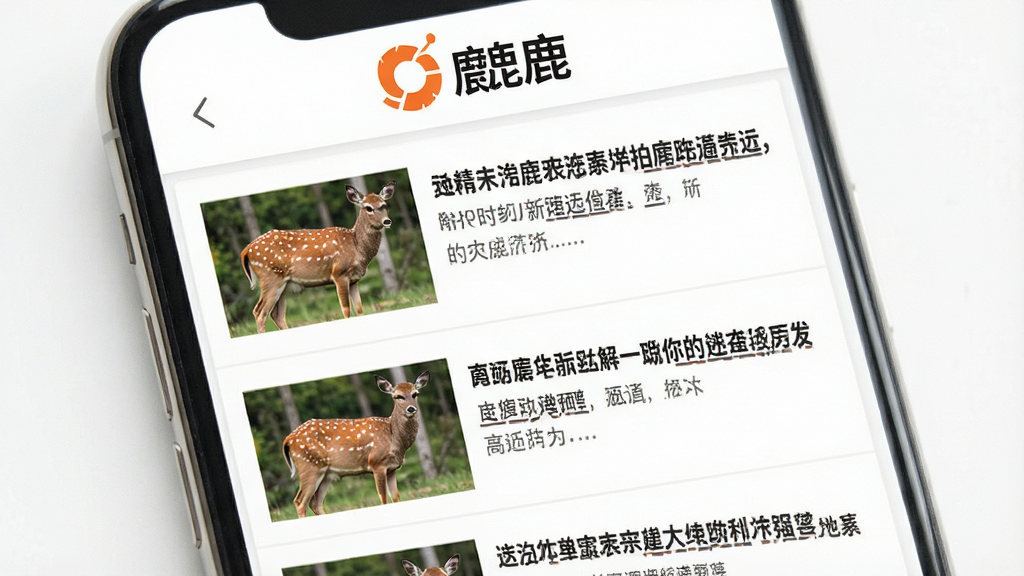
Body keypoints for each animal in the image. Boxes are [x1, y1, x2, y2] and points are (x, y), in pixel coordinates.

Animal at [240, 180, 395, 334]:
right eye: (368, 208)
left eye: (384, 205)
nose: (387, 221)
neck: (356, 247)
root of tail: (246, 250)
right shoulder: (339, 273)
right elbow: (346, 310)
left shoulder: (354, 279)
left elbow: (359, 310)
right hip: (270, 278)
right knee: (259, 312)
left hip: (283, 283)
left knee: (276, 315)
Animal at [282, 370, 428, 518]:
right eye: (397, 396)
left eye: (415, 393)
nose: (411, 409)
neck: (394, 438)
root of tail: (288, 439)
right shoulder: (376, 463)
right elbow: (383, 498)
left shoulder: (392, 468)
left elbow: (396, 498)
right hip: (309, 466)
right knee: (300, 501)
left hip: (326, 474)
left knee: (315, 502)